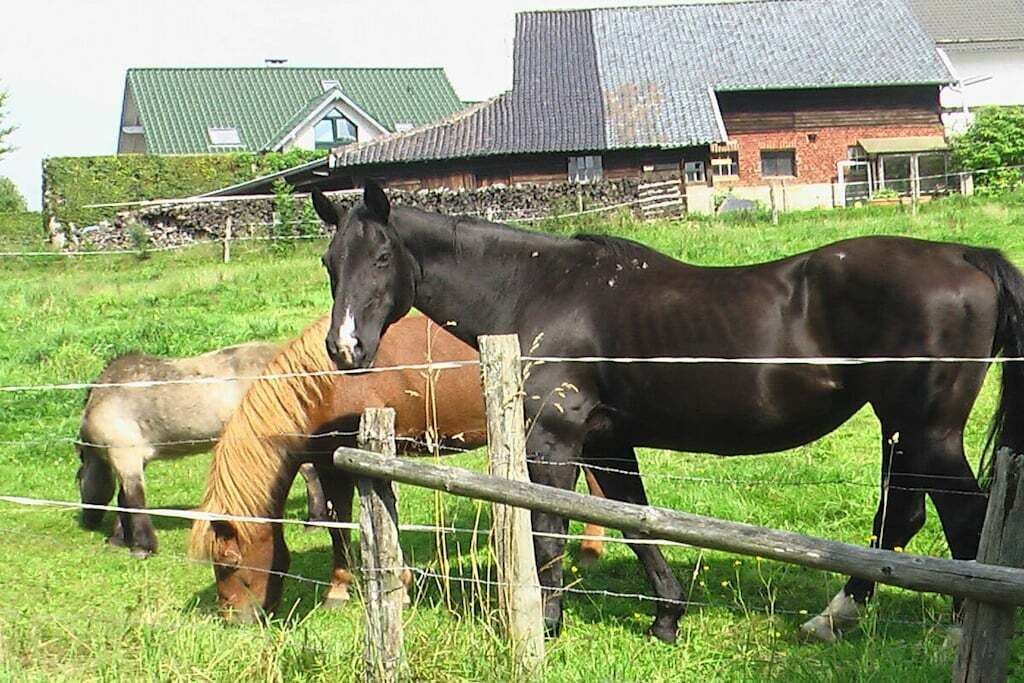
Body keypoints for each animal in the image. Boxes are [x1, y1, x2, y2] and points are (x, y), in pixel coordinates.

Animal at [76, 342, 329, 558]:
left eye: (78, 481)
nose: (87, 521)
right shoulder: (134, 460)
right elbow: (124, 499)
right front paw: (118, 539)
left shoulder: (125, 455)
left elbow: (133, 499)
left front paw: (141, 547)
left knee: (310, 474)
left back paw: (314, 522)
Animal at [188, 314, 609, 622]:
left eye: (229, 562)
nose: (234, 620)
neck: (324, 386)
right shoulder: (328, 463)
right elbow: (337, 525)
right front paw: (342, 588)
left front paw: (387, 587)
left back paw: (590, 550)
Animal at [312, 181, 1024, 644]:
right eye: (328, 262)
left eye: (382, 257)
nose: (345, 347)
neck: (540, 288)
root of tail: (965, 256)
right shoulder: (606, 442)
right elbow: (635, 523)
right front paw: (667, 617)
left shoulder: (554, 440)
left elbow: (549, 534)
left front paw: (548, 625)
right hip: (899, 427)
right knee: (902, 516)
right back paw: (835, 617)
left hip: (928, 432)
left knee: (964, 517)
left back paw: (955, 631)